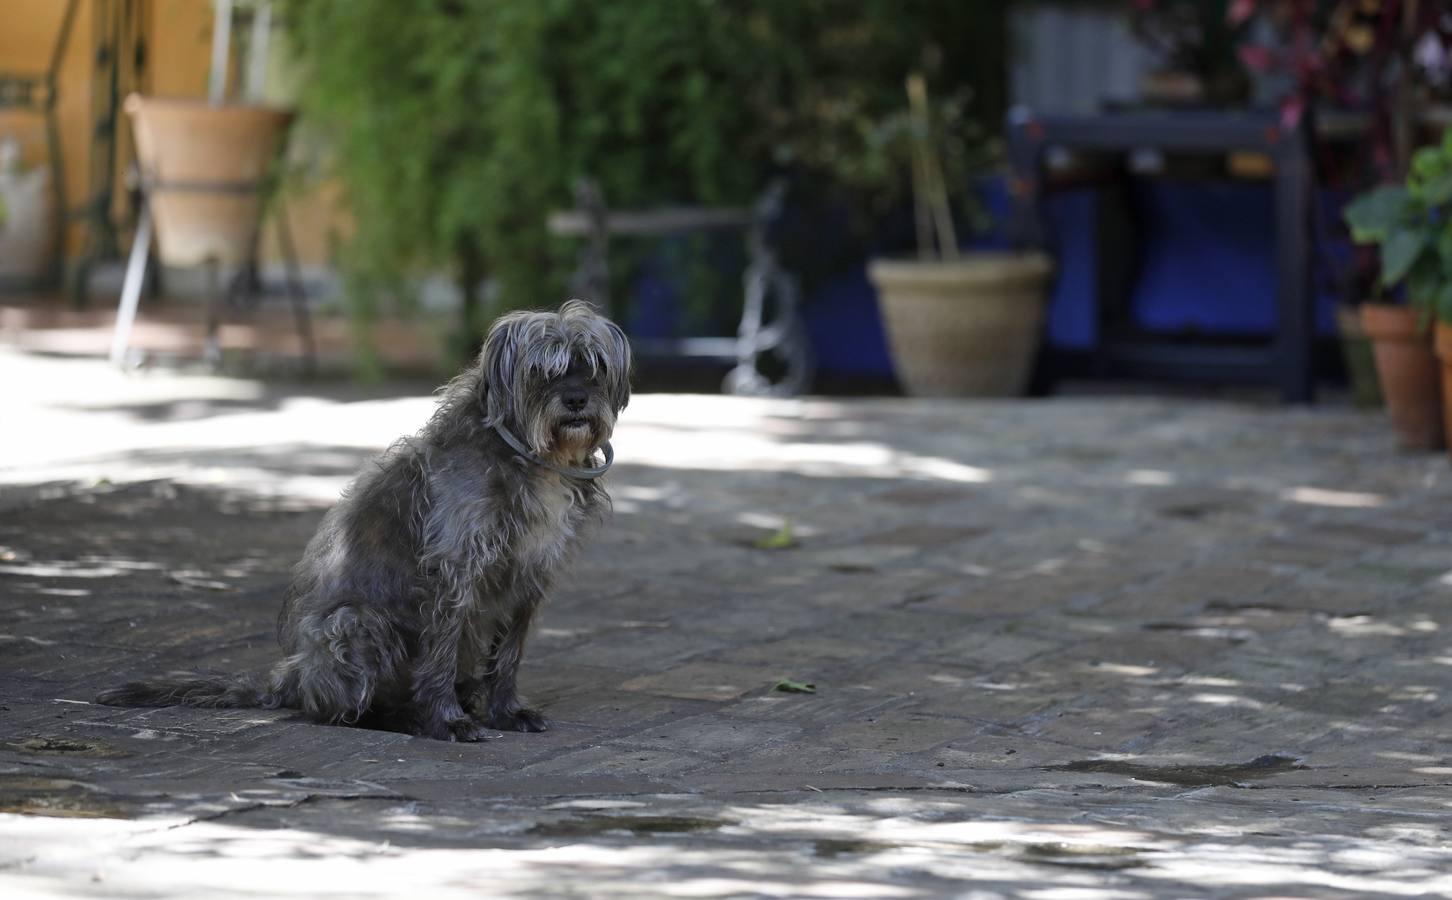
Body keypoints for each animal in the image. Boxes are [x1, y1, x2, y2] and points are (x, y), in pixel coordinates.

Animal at [95, 299, 630, 743]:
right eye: (544, 370)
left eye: (594, 367)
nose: (576, 401)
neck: (533, 456)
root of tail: (291, 677)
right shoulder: (453, 575)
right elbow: (441, 652)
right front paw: (446, 721)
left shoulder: (528, 578)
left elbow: (508, 656)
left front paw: (505, 712)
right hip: (356, 623)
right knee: (340, 711)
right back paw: (407, 717)